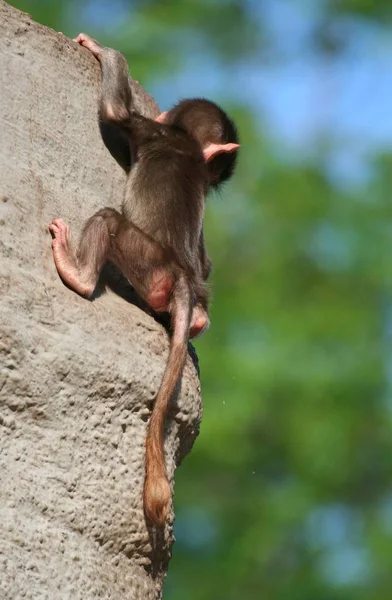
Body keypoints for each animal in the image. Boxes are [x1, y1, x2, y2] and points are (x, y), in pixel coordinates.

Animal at [49, 32, 239, 524]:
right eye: (215, 174)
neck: (186, 143)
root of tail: (181, 277)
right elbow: (209, 258)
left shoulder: (151, 130)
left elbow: (116, 112)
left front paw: (99, 49)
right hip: (182, 280)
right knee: (200, 283)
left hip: (146, 263)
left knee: (110, 221)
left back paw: (77, 272)